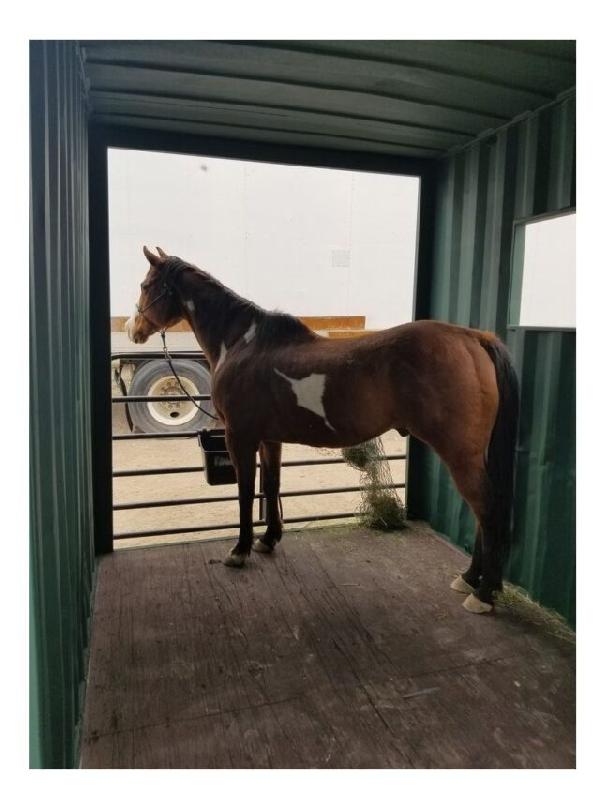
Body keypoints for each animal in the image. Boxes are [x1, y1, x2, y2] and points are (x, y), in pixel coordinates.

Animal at [127, 246, 519, 614]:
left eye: (146, 286)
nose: (133, 330)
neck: (243, 344)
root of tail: (473, 338)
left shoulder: (241, 438)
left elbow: (245, 493)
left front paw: (239, 551)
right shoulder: (269, 439)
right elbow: (271, 487)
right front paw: (268, 540)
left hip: (460, 455)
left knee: (486, 510)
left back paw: (482, 594)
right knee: (483, 513)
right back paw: (470, 579)